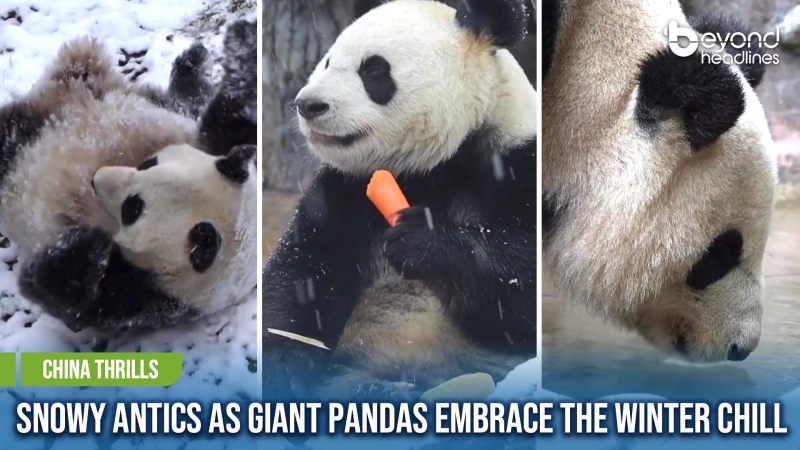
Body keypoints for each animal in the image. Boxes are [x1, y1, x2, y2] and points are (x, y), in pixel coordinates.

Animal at [0, 22, 258, 331]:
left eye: (132, 209)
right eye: (148, 163)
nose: (97, 177)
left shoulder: (145, 300)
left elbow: (69, 303)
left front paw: (88, 246)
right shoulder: (212, 147)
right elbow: (232, 120)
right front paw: (245, 47)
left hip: (19, 144)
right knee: (182, 101)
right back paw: (194, 60)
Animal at [263, 0, 537, 398]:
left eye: (374, 70)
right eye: (328, 62)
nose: (308, 104)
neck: (436, 168)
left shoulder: (517, 163)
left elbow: (523, 289)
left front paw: (424, 241)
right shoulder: (342, 191)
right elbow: (304, 269)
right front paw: (285, 365)